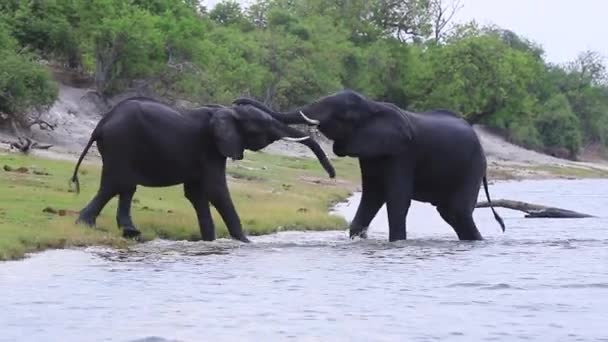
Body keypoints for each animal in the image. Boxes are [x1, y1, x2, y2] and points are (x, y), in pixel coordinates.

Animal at [72, 96, 338, 242]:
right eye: (262, 129)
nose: (332, 174)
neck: (226, 112)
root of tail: (101, 124)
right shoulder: (210, 148)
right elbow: (216, 189)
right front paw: (245, 242)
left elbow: (197, 193)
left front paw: (209, 240)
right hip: (121, 144)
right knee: (116, 184)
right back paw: (87, 225)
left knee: (125, 187)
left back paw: (129, 232)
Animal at [233, 89, 504, 242]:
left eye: (344, 115)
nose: (236, 103)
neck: (374, 106)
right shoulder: (371, 152)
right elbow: (372, 195)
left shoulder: (403, 153)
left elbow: (396, 199)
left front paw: (397, 244)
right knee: (451, 214)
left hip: (473, 166)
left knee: (457, 212)